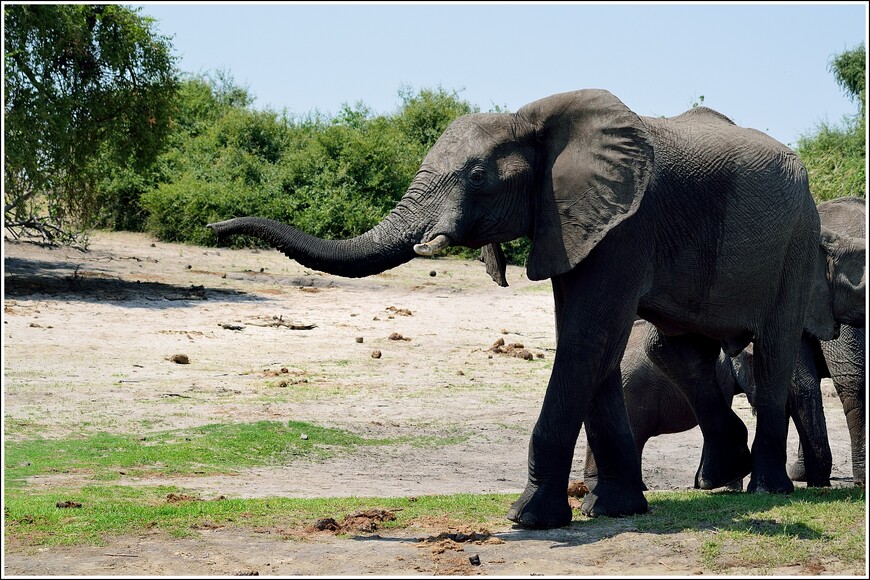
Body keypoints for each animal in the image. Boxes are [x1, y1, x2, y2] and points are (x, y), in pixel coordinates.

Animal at [208, 88, 860, 528]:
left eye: (477, 177)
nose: (217, 224)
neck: (531, 119)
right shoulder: (573, 223)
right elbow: (593, 345)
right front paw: (613, 509)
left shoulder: (627, 224)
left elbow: (586, 338)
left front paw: (528, 518)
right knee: (681, 348)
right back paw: (724, 478)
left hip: (795, 241)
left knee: (771, 351)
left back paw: (767, 491)